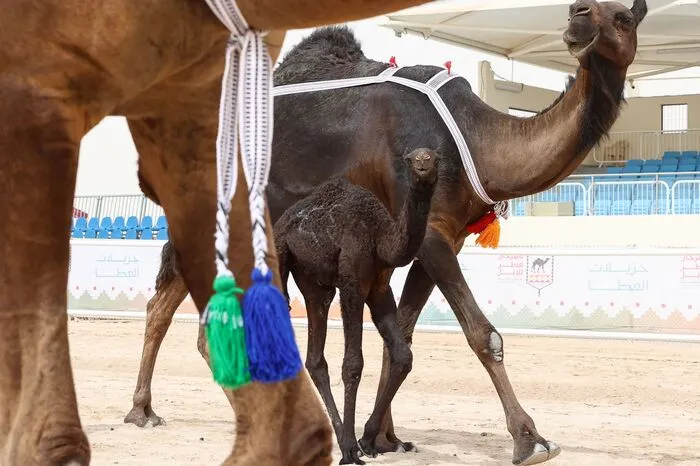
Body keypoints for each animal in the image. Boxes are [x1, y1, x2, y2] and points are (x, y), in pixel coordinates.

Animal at [275, 148, 439, 464]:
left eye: (435, 158)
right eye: (411, 158)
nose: (423, 163)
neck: (380, 239)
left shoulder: (379, 289)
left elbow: (403, 355)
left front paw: (367, 441)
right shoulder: (352, 284)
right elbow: (353, 364)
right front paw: (352, 448)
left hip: (314, 285)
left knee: (315, 359)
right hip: (280, 263)